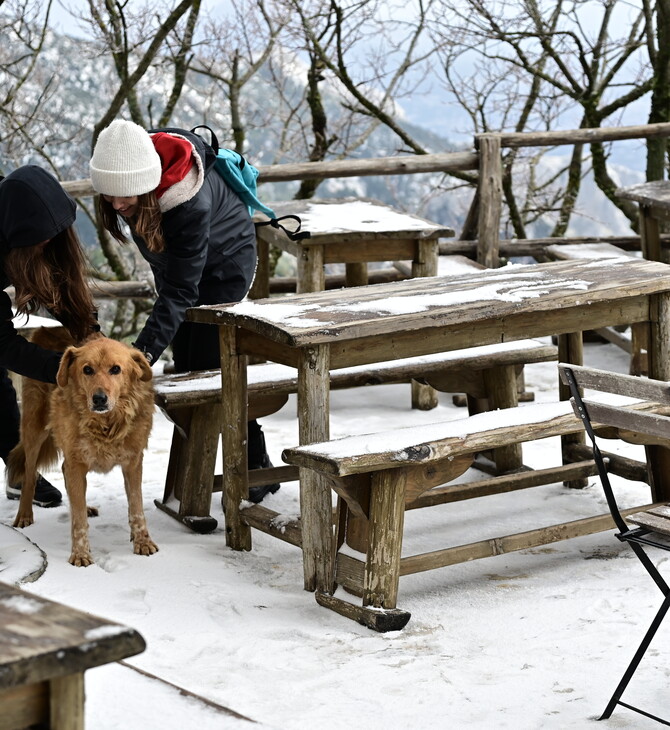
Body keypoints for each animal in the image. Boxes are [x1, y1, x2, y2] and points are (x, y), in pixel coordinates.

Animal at [8, 328, 158, 564]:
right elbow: (78, 521)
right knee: (30, 476)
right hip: (34, 432)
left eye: (116, 369)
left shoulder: (133, 463)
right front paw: (80, 554)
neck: (105, 424)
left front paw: (142, 541)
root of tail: (46, 328)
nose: (99, 399)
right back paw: (24, 515)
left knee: (65, 475)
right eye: (87, 370)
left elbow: (137, 508)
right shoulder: (77, 462)